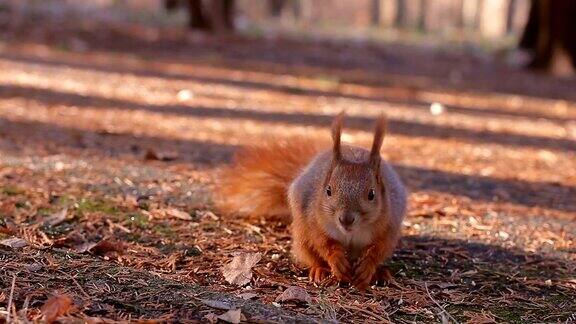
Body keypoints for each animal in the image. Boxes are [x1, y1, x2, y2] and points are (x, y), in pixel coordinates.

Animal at [218, 113, 408, 288]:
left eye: (371, 194)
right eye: (328, 190)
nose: (346, 220)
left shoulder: (388, 227)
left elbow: (378, 249)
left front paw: (368, 267)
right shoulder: (314, 220)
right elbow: (323, 242)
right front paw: (336, 260)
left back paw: (380, 273)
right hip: (302, 236)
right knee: (312, 255)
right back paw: (319, 270)